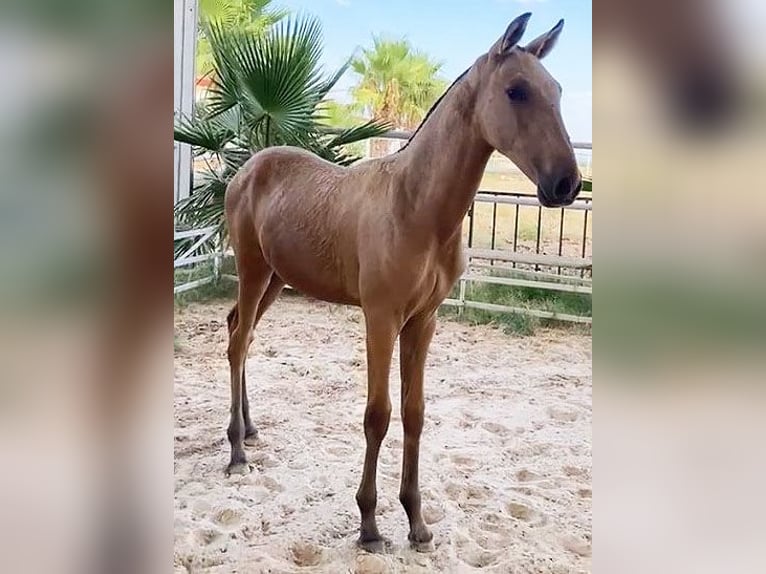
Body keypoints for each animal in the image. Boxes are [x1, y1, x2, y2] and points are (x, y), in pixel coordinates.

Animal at [222, 12, 584, 552]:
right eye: (517, 90)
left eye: (557, 89)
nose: (567, 183)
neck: (415, 208)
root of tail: (246, 168)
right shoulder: (381, 319)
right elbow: (378, 414)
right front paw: (369, 524)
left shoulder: (423, 321)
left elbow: (414, 413)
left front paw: (416, 520)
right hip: (251, 269)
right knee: (238, 341)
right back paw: (236, 453)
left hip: (275, 279)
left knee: (240, 335)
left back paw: (248, 430)